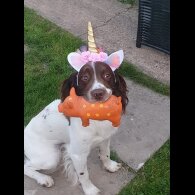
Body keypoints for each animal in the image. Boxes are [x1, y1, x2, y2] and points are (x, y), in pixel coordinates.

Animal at [24, 49, 128, 195]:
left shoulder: (106, 138)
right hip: (50, 158)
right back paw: (44, 179)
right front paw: (90, 190)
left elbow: (105, 153)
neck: (96, 114)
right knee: (26, 166)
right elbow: (84, 174)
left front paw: (110, 166)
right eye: (85, 77)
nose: (98, 93)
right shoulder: (77, 154)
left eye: (107, 75)